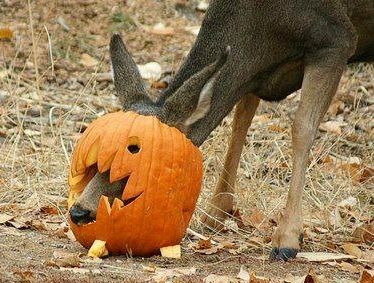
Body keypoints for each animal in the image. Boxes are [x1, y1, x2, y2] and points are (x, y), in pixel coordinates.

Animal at [69, 0, 374, 262]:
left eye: (135, 149)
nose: (79, 211)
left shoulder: (335, 40)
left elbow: (302, 128)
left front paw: (287, 239)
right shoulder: (254, 76)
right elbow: (241, 120)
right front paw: (215, 212)